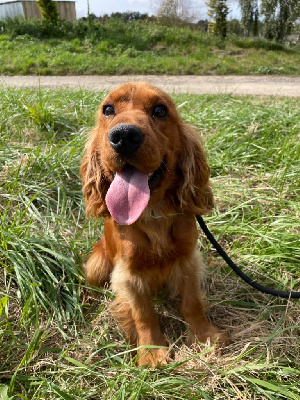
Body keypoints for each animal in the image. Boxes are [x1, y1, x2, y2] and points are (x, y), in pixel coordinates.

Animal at [81, 82, 226, 366]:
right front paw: (152, 352)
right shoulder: (129, 273)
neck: (153, 212)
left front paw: (204, 336)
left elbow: (192, 302)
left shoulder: (188, 259)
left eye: (160, 110)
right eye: (108, 109)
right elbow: (143, 313)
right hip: (96, 266)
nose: (124, 136)